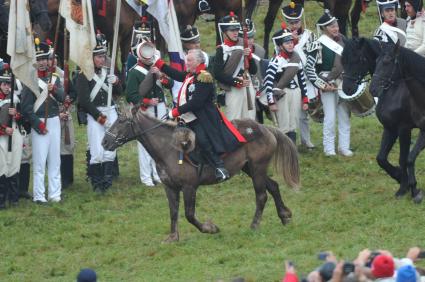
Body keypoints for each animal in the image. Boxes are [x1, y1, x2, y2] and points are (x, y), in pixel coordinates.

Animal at [101, 109, 298, 241]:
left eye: (121, 121)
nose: (104, 142)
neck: (169, 149)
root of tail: (265, 128)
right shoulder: (170, 188)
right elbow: (173, 212)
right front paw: (173, 237)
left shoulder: (189, 187)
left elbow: (189, 214)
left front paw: (210, 228)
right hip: (251, 169)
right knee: (273, 187)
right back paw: (285, 216)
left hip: (257, 169)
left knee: (261, 196)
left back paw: (255, 225)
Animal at [342, 38, 420, 204]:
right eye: (343, 60)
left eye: (359, 59)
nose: (347, 88)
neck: (394, 89)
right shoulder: (390, 128)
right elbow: (381, 158)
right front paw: (399, 177)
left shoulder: (403, 129)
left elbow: (403, 158)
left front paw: (404, 187)